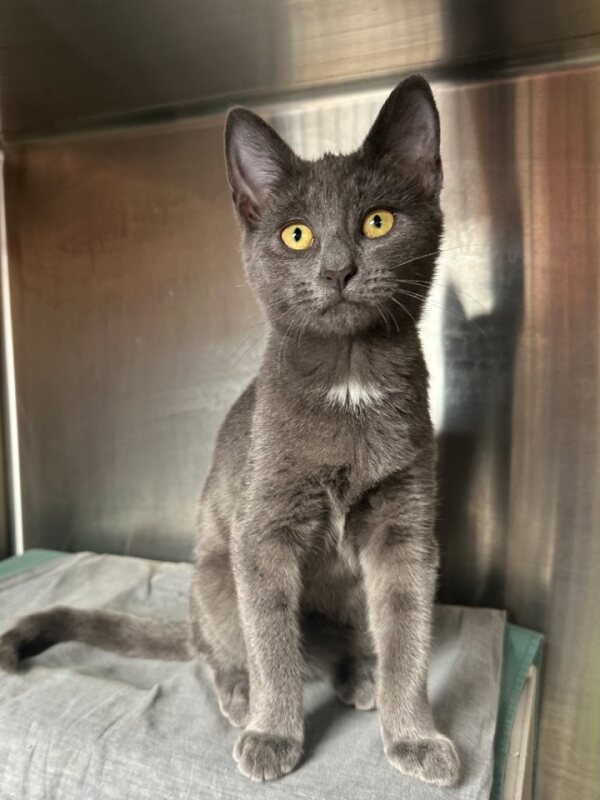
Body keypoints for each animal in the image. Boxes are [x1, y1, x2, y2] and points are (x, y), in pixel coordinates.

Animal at [0, 74, 459, 787]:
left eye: (378, 221)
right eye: (296, 235)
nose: (337, 270)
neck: (348, 377)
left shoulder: (405, 524)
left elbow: (407, 633)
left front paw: (413, 736)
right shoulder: (261, 531)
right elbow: (271, 641)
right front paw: (274, 733)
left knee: (344, 641)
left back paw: (360, 672)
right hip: (216, 577)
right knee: (225, 648)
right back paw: (244, 693)